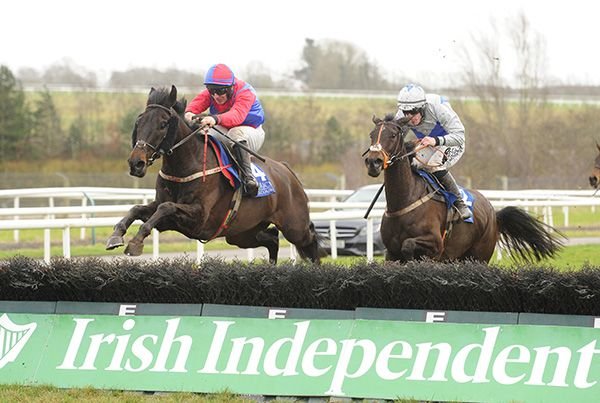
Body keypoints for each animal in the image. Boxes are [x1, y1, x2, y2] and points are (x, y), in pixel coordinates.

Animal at [106, 85, 323, 264]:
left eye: (163, 123)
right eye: (139, 121)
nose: (136, 163)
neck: (186, 165)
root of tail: (288, 171)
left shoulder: (199, 217)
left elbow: (165, 208)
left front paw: (135, 242)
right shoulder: (166, 214)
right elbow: (137, 209)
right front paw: (116, 236)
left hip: (295, 226)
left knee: (311, 242)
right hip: (241, 233)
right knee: (272, 240)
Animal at [363, 115, 564, 263]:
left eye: (393, 135)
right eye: (372, 134)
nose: (373, 162)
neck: (406, 199)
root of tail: (494, 214)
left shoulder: (436, 244)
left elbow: (408, 245)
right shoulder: (390, 253)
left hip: (479, 255)